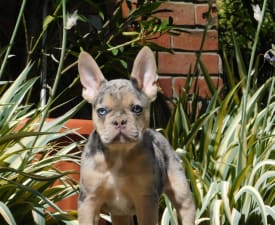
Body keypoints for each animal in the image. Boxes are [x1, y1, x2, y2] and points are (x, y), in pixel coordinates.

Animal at [77, 46, 196, 225]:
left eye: (137, 109)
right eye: (102, 111)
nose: (119, 121)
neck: (118, 154)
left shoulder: (145, 200)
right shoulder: (88, 202)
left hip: (182, 194)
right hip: (119, 214)